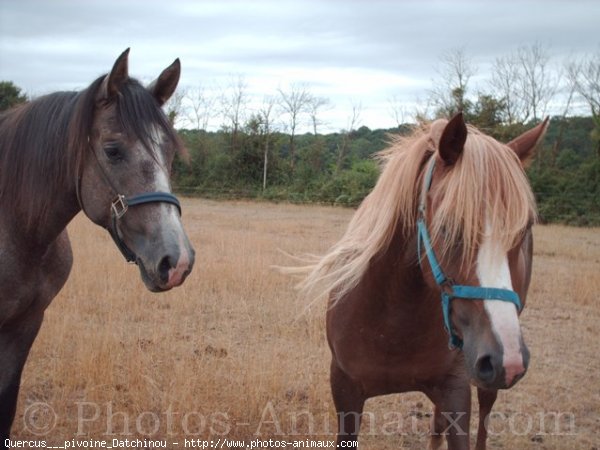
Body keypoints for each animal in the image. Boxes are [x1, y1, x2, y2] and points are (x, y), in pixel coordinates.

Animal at [300, 114, 548, 450]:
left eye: (523, 229)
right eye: (447, 225)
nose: (504, 359)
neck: (391, 322)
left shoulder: (457, 389)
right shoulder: (345, 389)